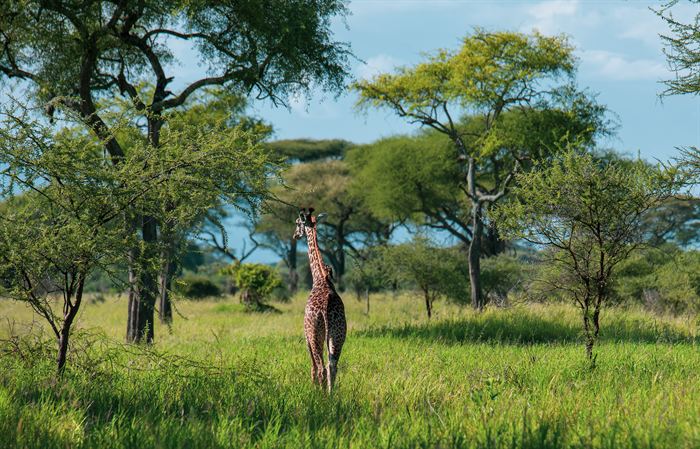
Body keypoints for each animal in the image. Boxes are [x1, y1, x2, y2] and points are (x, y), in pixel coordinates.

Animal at [293, 207, 347, 392]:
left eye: (297, 223)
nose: (295, 235)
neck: (319, 278)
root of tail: (326, 309)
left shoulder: (306, 334)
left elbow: (313, 367)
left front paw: (313, 389)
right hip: (338, 335)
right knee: (333, 366)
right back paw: (331, 394)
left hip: (316, 334)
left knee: (322, 367)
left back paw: (321, 395)